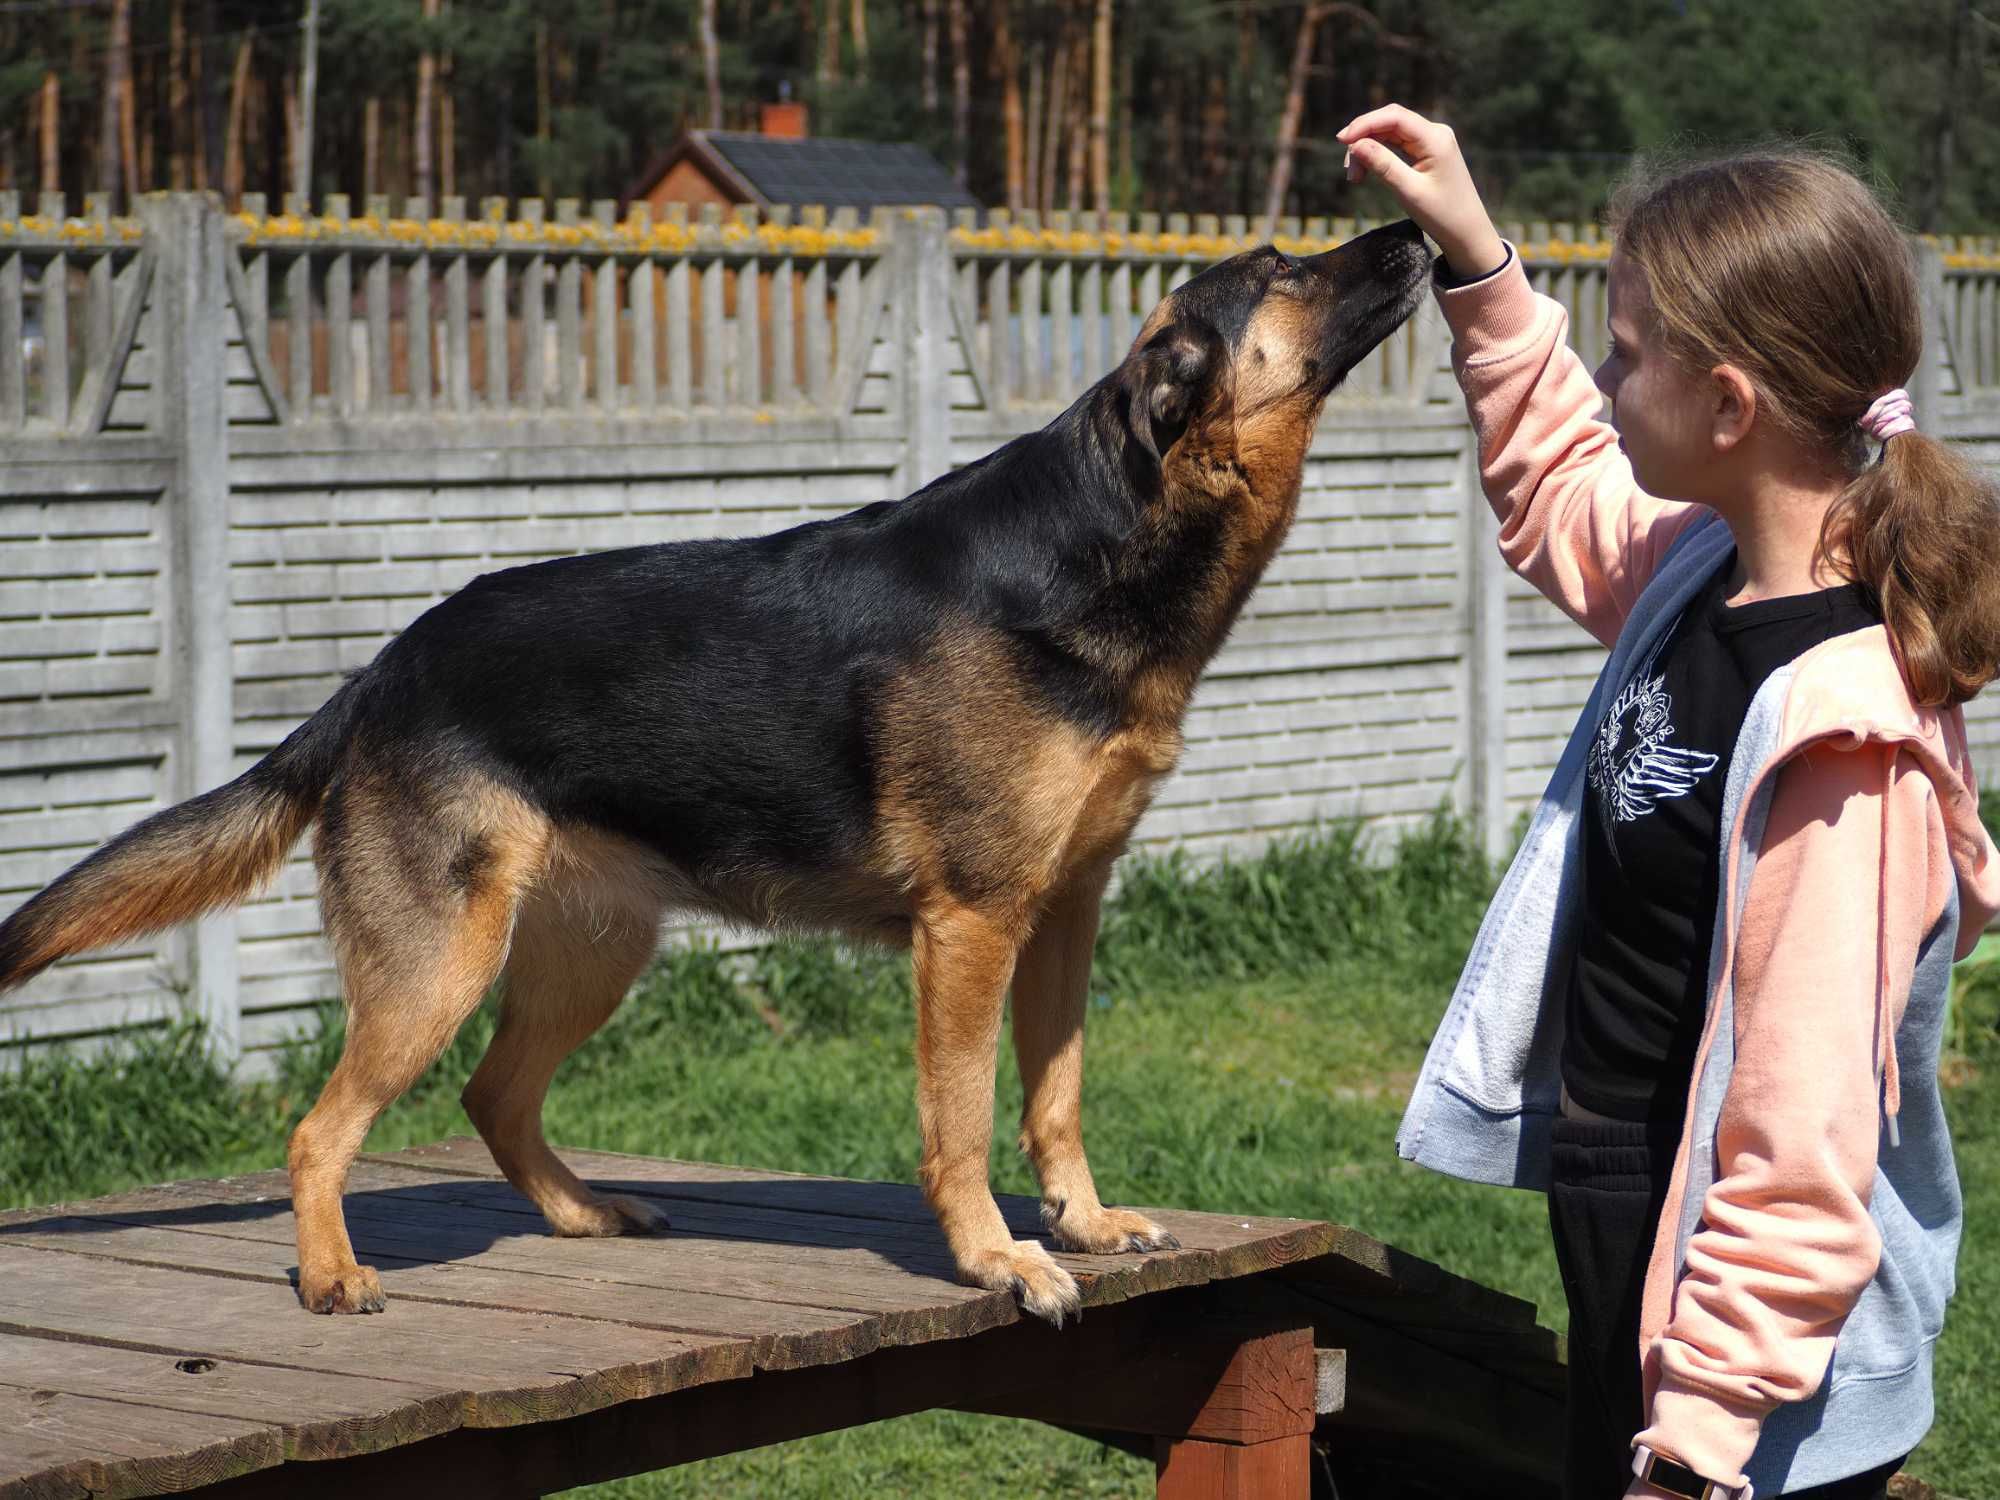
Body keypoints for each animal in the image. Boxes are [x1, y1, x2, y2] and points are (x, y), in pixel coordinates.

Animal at [0, 220, 1440, 1328]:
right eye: (1281, 267)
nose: (1417, 234)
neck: (1107, 534)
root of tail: (386, 670)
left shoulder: (1064, 915)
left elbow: (1058, 1097)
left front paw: (1078, 1224)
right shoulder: (973, 927)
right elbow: (964, 1119)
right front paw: (998, 1260)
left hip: (589, 953)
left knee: (491, 1094)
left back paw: (580, 1211)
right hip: (437, 966)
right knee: (322, 1129)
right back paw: (332, 1275)